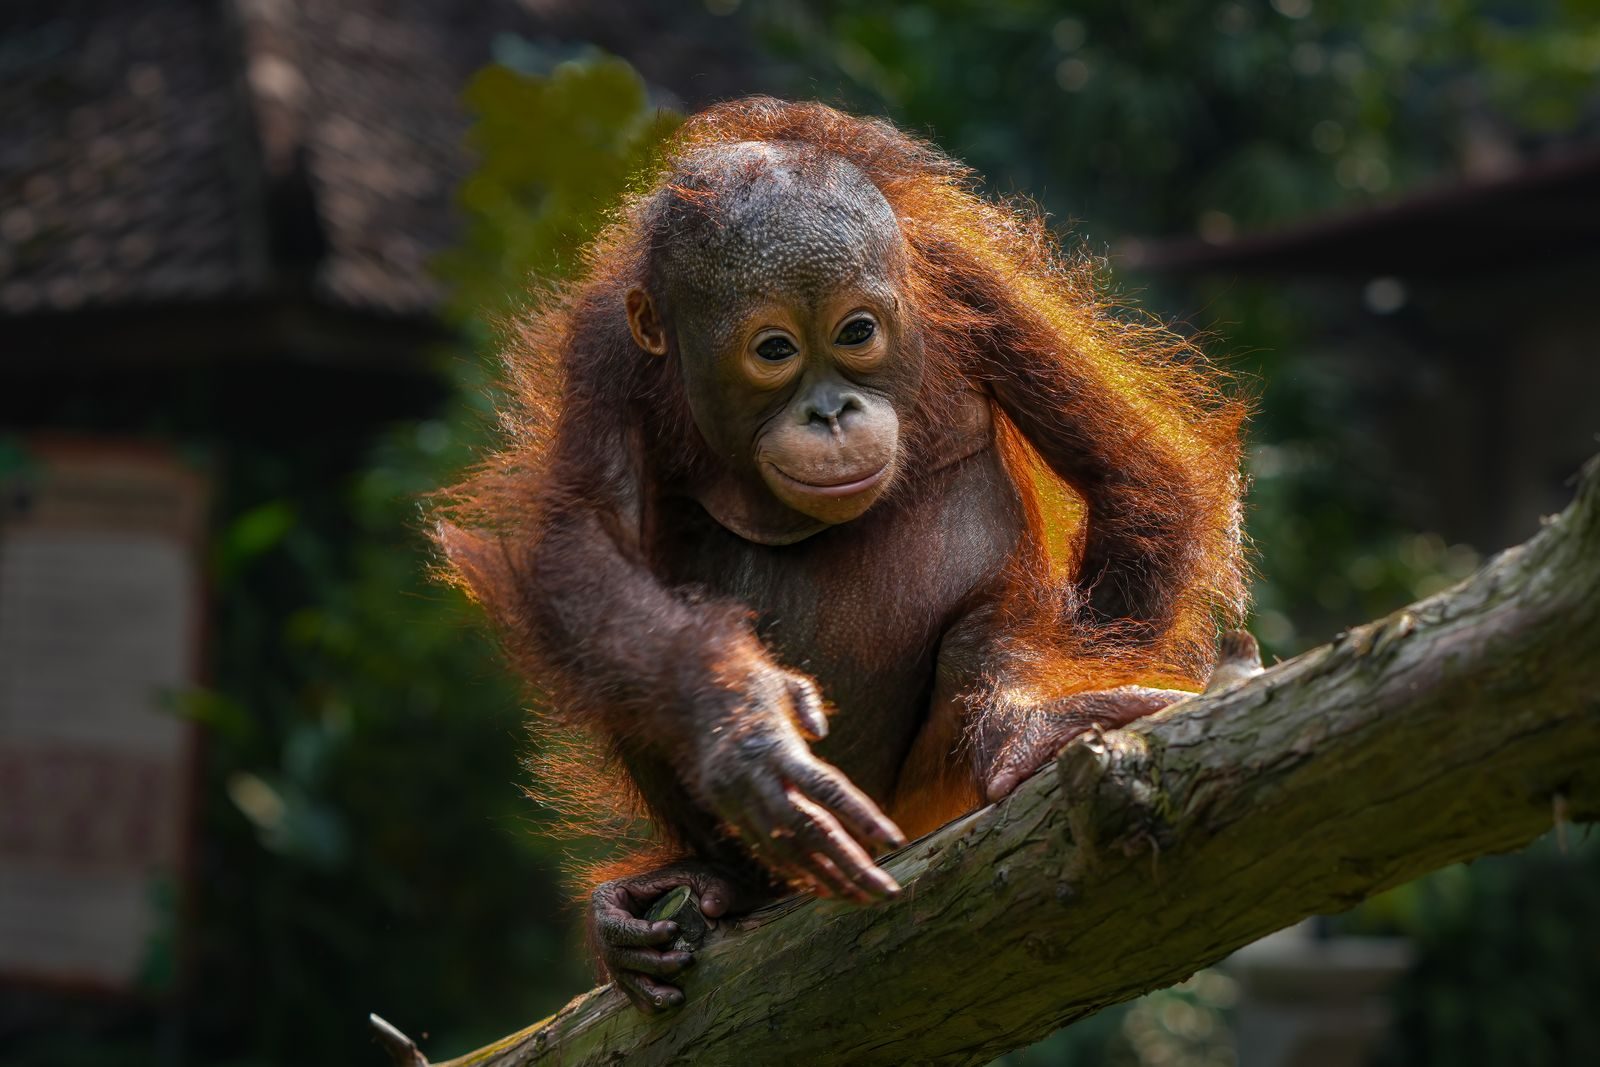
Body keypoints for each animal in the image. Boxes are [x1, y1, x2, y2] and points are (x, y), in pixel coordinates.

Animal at [436, 98, 1247, 1013]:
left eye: (857, 332)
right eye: (774, 350)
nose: (831, 412)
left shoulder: (969, 279)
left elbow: (1135, 474)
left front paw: (1043, 706)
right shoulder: (603, 348)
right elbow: (585, 546)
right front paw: (743, 726)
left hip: (924, 789)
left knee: (991, 622)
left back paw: (1018, 727)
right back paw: (719, 879)